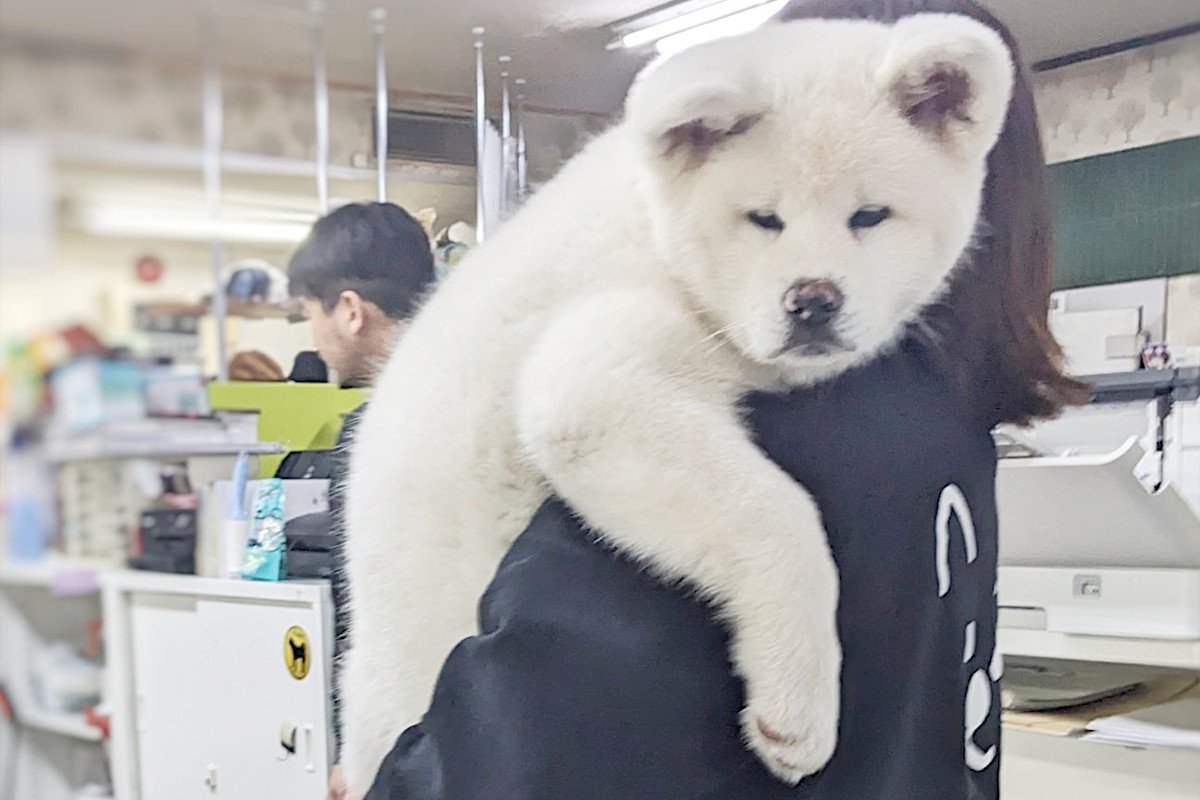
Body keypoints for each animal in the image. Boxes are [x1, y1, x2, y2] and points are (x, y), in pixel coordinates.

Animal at [340, 14, 1012, 796]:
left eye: (871, 216)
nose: (812, 301)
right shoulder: (592, 384)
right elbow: (780, 513)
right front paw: (799, 701)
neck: (669, 245)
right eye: (763, 219)